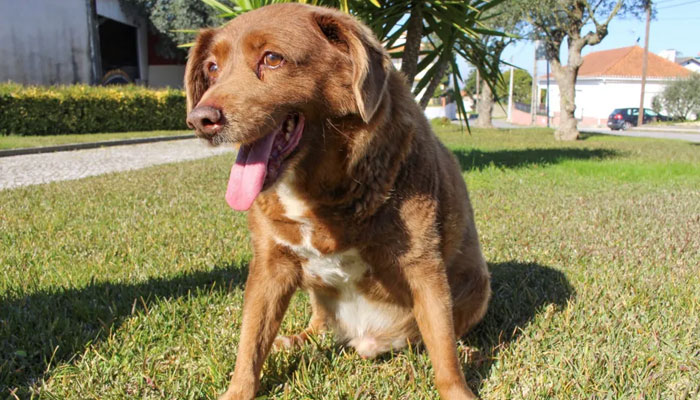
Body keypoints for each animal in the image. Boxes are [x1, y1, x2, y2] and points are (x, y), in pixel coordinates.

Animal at [186, 3, 492, 400]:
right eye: (212, 68)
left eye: (272, 58)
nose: (200, 119)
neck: (317, 190)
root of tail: (368, 339)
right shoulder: (270, 265)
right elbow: (250, 343)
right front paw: (237, 391)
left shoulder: (423, 265)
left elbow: (443, 351)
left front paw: (459, 390)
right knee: (316, 326)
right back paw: (294, 340)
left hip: (478, 287)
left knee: (445, 335)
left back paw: (469, 350)